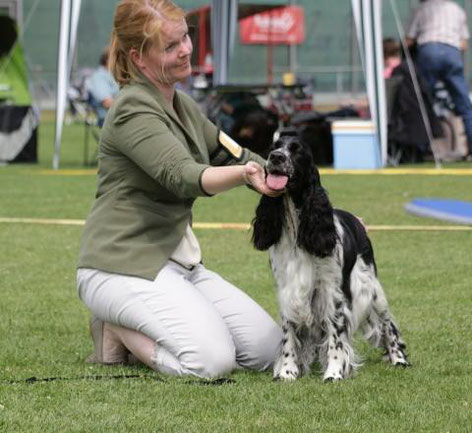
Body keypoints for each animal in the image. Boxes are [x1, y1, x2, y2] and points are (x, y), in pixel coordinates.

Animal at [251, 134, 410, 378]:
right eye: (273, 147)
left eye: (297, 150)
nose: (276, 158)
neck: (297, 228)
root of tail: (356, 220)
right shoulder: (287, 288)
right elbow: (289, 333)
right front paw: (287, 371)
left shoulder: (331, 290)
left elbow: (336, 334)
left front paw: (334, 372)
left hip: (370, 287)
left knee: (387, 322)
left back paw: (398, 359)